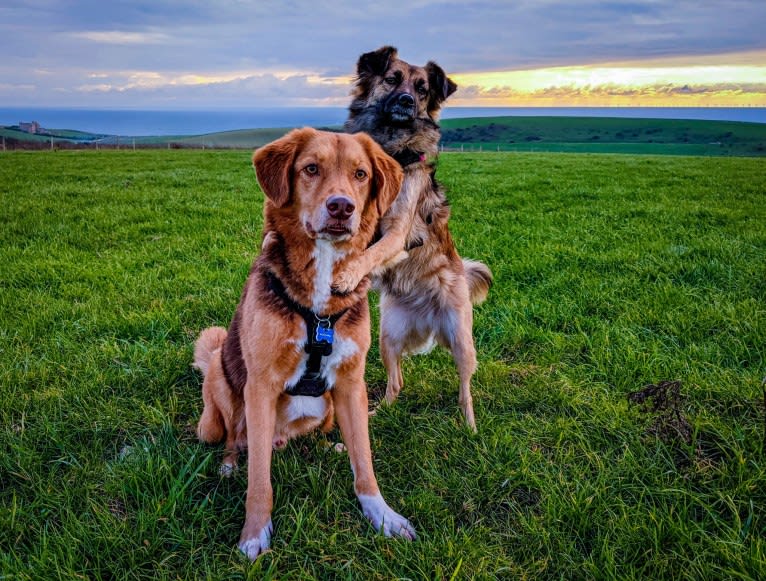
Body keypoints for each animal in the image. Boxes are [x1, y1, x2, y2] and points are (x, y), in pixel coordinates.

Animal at [195, 127, 416, 556]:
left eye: (361, 174)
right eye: (311, 169)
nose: (342, 206)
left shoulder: (351, 383)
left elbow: (365, 461)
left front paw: (382, 515)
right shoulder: (260, 386)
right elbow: (259, 481)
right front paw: (254, 533)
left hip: (329, 405)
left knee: (320, 436)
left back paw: (331, 446)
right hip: (217, 383)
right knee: (232, 438)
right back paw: (229, 465)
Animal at [338, 46, 496, 430]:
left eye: (423, 89)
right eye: (392, 79)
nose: (407, 101)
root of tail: (426, 318)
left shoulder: (397, 233)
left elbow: (370, 253)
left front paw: (347, 274)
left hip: (461, 339)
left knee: (465, 389)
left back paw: (470, 428)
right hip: (387, 336)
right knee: (397, 382)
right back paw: (379, 413)